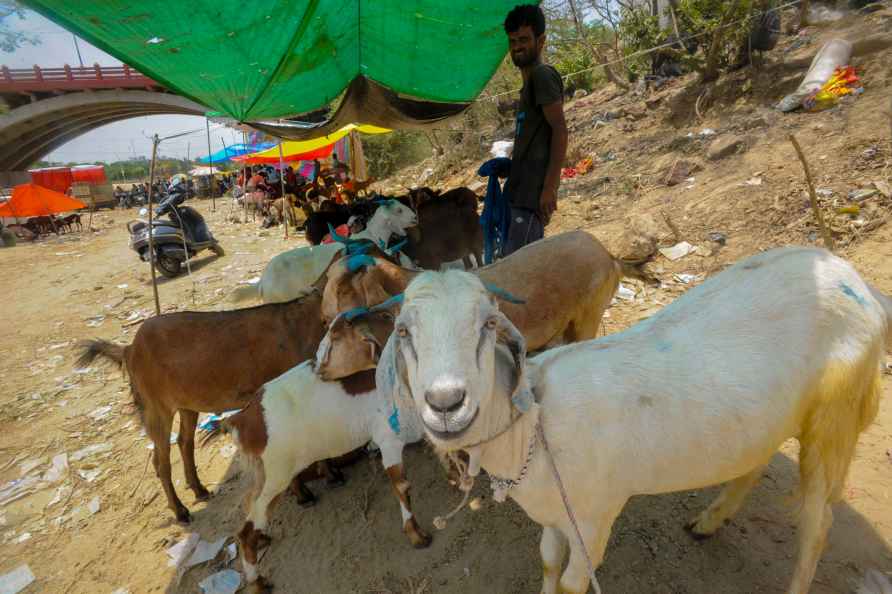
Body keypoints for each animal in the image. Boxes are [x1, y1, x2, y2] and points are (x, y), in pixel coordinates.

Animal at [70, 288, 338, 524]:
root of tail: (129, 349)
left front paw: (331, 474)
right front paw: (303, 493)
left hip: (187, 405)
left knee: (183, 442)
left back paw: (199, 489)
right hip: (157, 409)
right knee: (161, 461)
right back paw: (180, 511)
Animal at [225, 360, 430, 588]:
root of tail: (241, 419)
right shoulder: (388, 439)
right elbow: (402, 486)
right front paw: (416, 536)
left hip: (266, 473)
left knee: (249, 502)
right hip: (277, 474)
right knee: (247, 528)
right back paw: (257, 582)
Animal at [380, 247, 888, 592]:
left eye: (488, 322)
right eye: (403, 331)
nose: (446, 402)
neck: (533, 432)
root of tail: (855, 280)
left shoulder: (592, 518)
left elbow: (571, 581)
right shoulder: (553, 516)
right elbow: (546, 561)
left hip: (836, 416)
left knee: (818, 524)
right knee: (755, 463)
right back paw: (709, 521)